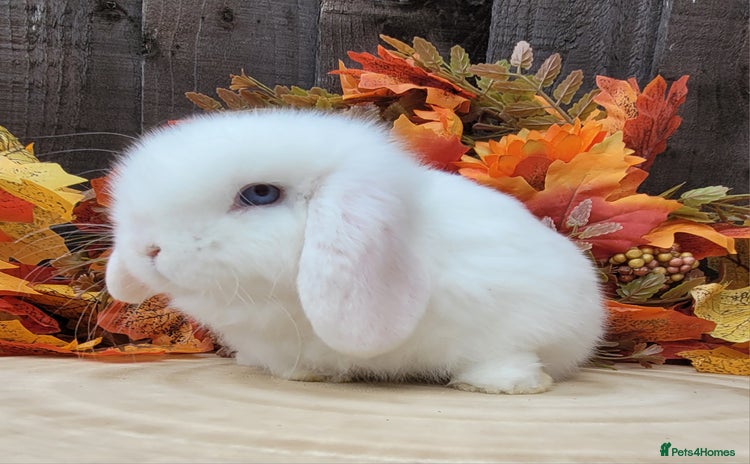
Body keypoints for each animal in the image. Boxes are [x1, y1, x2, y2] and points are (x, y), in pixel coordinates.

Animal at [105, 109, 606, 394]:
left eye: (260, 194)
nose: (148, 249)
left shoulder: (515, 325)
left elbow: (510, 353)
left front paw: (509, 385)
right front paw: (303, 374)